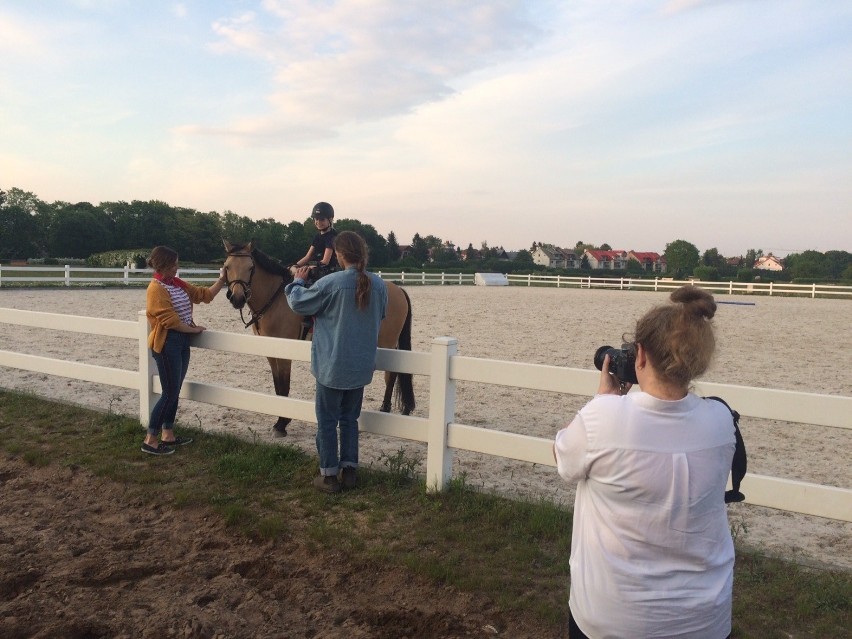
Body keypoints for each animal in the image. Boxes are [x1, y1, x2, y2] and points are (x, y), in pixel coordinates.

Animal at [223, 239, 416, 436]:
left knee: (390, 374)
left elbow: (284, 386)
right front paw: (280, 421)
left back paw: (385, 407)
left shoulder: (285, 351)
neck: (275, 298)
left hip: (387, 343)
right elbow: (278, 386)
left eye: (250, 268)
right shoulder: (271, 350)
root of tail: (398, 288)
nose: (237, 298)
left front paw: (282, 424)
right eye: (227, 267)